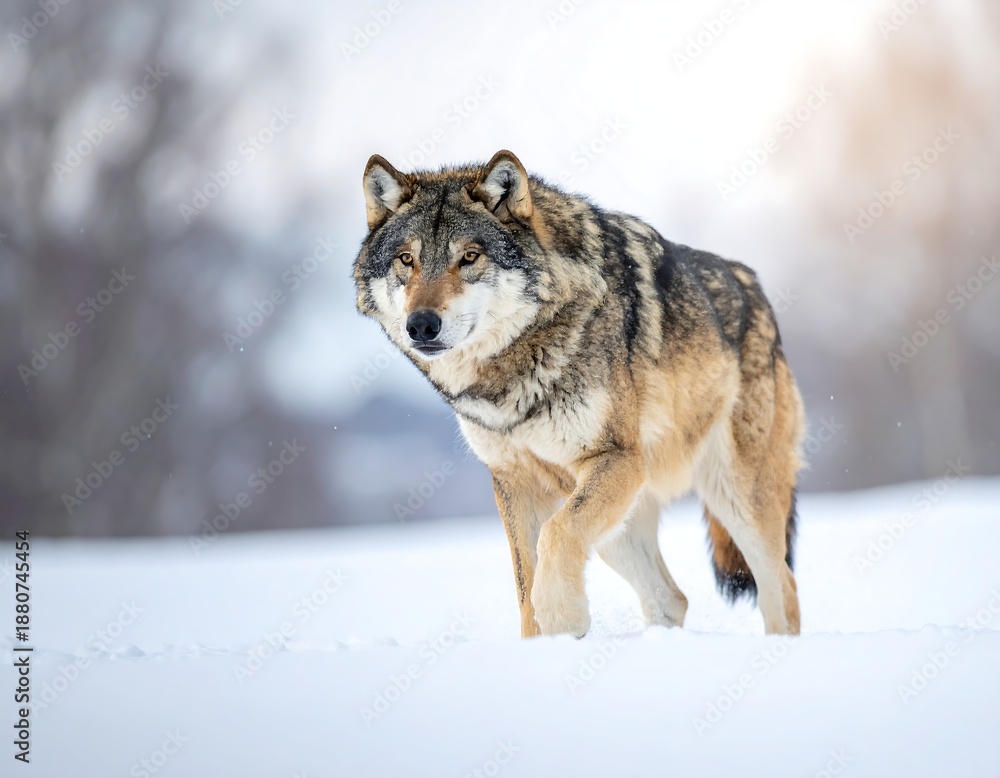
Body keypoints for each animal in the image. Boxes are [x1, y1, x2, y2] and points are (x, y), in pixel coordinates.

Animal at [353, 150, 805, 637]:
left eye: (469, 257)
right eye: (406, 259)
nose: (421, 325)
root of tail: (755, 288)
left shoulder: (617, 458)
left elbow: (556, 537)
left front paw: (563, 619)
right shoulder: (514, 482)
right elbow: (524, 586)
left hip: (735, 496)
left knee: (783, 589)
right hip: (621, 524)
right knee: (672, 598)